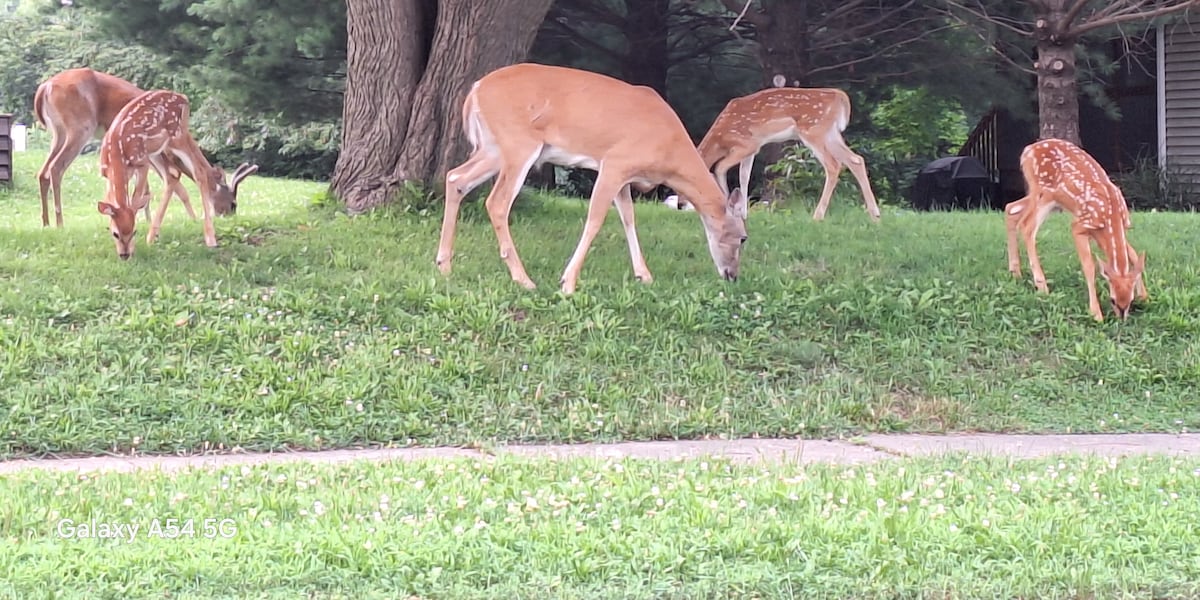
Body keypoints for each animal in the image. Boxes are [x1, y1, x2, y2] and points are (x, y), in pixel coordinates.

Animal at [33, 68, 256, 227]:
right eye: (233, 203)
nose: (228, 215)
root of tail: (45, 87)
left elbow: (150, 186)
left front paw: (143, 218)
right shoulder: (158, 153)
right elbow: (174, 183)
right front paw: (192, 219)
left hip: (58, 133)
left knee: (43, 172)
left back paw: (45, 222)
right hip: (80, 127)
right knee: (56, 168)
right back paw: (60, 223)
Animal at [97, 90, 240, 259]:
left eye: (134, 232)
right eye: (115, 233)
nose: (124, 255)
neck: (116, 155)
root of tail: (183, 97)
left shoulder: (142, 163)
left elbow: (136, 199)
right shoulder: (106, 174)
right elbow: (112, 200)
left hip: (176, 136)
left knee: (198, 171)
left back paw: (210, 239)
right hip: (159, 149)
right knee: (175, 173)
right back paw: (153, 236)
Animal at [436, 63, 748, 294]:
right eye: (744, 238)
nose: (732, 275)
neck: (669, 153)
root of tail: (476, 89)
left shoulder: (624, 176)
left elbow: (628, 218)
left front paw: (644, 275)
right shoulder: (615, 163)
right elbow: (596, 218)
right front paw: (568, 283)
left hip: (493, 148)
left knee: (455, 178)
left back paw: (444, 265)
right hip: (518, 143)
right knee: (497, 202)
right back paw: (523, 279)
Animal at [697, 87, 881, 222]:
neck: (719, 139)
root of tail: (840, 97)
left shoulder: (748, 144)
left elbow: (720, 168)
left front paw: (729, 209)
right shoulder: (752, 150)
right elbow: (744, 177)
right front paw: (743, 214)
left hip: (813, 131)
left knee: (833, 165)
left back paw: (817, 216)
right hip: (830, 133)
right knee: (856, 159)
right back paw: (875, 215)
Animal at [1005, 138, 1147, 322]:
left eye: (1130, 300)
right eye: (1113, 300)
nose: (1121, 318)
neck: (1111, 217)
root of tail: (1027, 151)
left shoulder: (1107, 233)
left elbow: (1133, 254)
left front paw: (1144, 295)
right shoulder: (1080, 226)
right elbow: (1089, 266)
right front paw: (1096, 313)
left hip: (1047, 200)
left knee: (1011, 208)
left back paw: (1015, 272)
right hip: (1044, 193)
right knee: (1027, 225)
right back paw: (1042, 286)